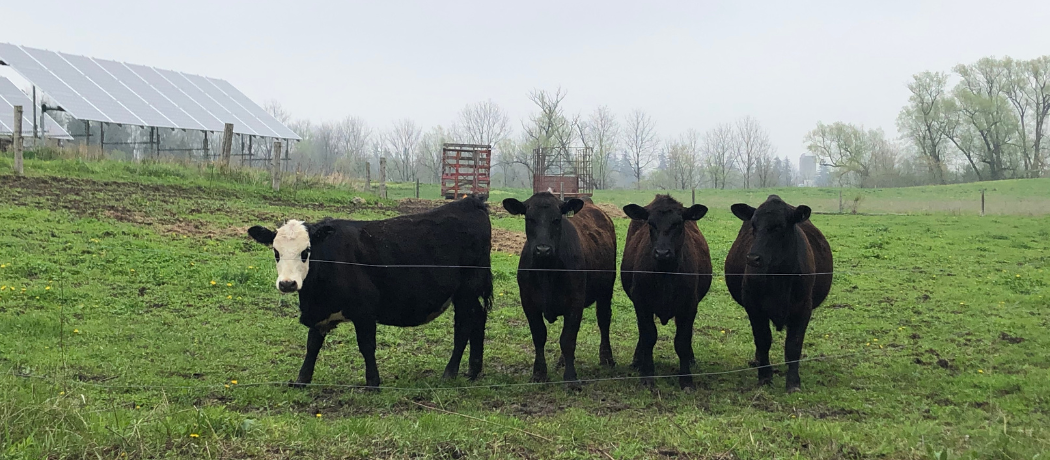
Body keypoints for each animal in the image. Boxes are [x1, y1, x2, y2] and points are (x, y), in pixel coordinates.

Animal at [246, 197, 493, 388]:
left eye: (306, 251)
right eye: (276, 252)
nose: (287, 284)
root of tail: (471, 202)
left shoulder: (364, 311)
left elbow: (366, 346)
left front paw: (372, 382)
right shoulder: (320, 311)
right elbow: (312, 344)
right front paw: (302, 380)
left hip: (467, 290)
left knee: (464, 325)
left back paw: (450, 372)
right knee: (478, 318)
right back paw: (473, 370)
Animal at [502, 192, 617, 385]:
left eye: (556, 219)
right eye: (529, 219)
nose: (543, 249)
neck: (546, 271)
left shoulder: (575, 302)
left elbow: (568, 339)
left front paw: (570, 378)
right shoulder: (528, 303)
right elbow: (539, 336)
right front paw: (539, 373)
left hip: (606, 290)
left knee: (603, 320)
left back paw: (607, 358)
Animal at [621, 195, 712, 389]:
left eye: (678, 223)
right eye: (650, 223)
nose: (662, 253)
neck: (666, 274)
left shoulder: (689, 305)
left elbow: (682, 341)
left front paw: (686, 379)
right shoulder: (641, 303)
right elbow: (648, 336)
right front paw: (647, 375)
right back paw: (638, 360)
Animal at [725, 195, 833, 392]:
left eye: (779, 227)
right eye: (753, 226)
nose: (753, 258)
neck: (779, 277)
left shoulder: (803, 307)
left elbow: (793, 344)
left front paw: (793, 382)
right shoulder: (754, 307)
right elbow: (763, 339)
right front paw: (765, 376)